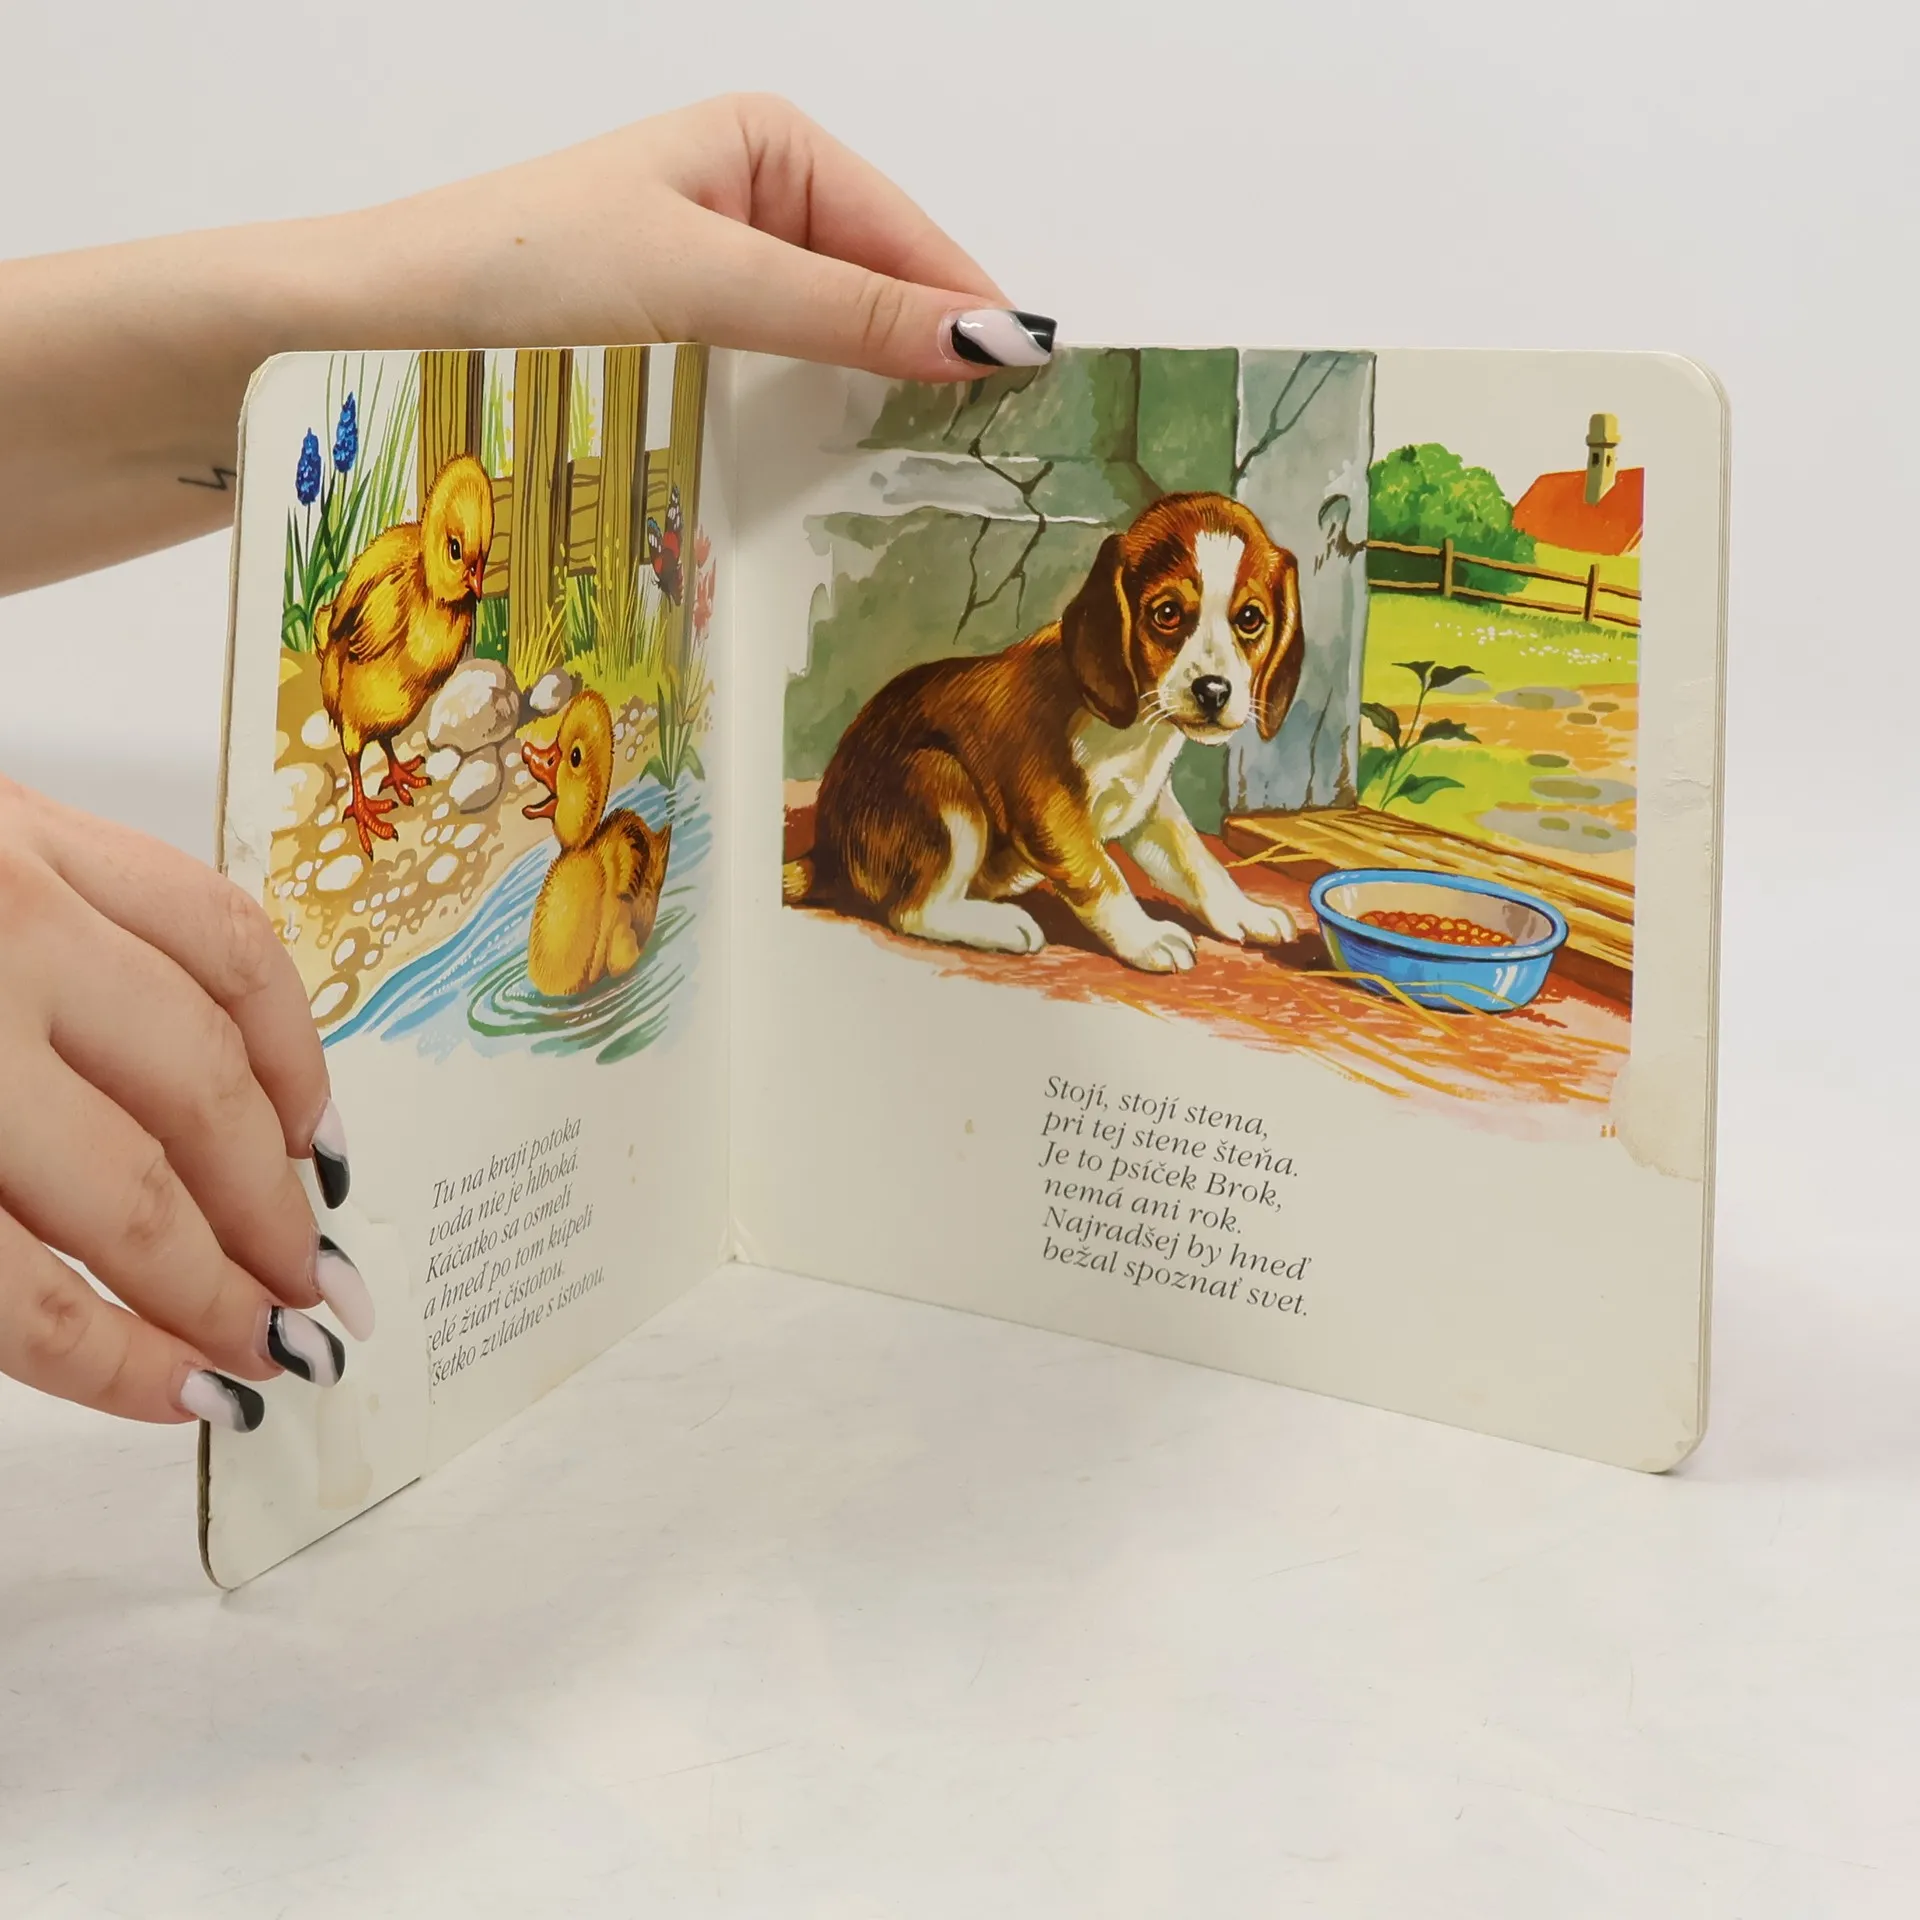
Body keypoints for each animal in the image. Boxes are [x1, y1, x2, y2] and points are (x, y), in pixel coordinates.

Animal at [782, 492, 1305, 974]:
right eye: (1168, 614)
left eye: (1250, 619)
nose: (1213, 691)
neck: (1137, 726)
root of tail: (826, 853)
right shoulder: (1051, 812)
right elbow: (1103, 876)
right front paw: (1147, 938)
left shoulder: (1150, 808)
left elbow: (1198, 864)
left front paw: (1246, 912)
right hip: (940, 779)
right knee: (911, 911)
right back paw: (1003, 926)